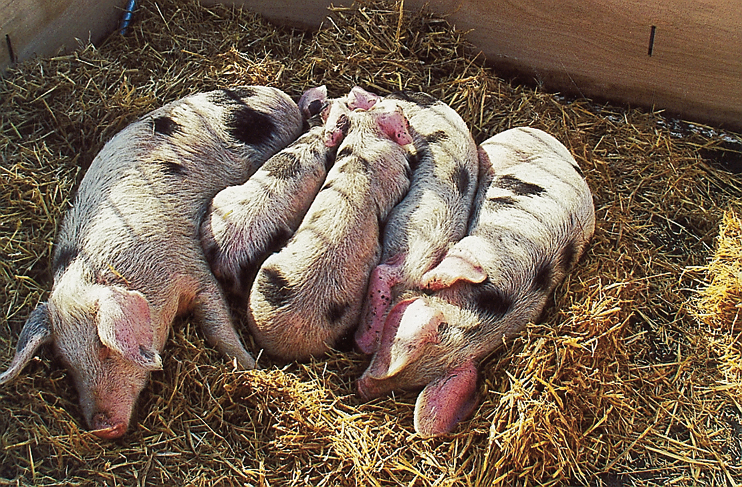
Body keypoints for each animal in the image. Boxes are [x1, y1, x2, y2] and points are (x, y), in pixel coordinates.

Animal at [0, 86, 304, 440]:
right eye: (66, 362)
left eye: (105, 347)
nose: (102, 428)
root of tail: (275, 93)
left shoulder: (192, 264)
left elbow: (217, 325)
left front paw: (252, 366)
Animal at [358, 126, 596, 438]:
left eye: (413, 384)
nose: (362, 388)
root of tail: (545, 135)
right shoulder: (477, 249)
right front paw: (430, 279)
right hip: (495, 149)